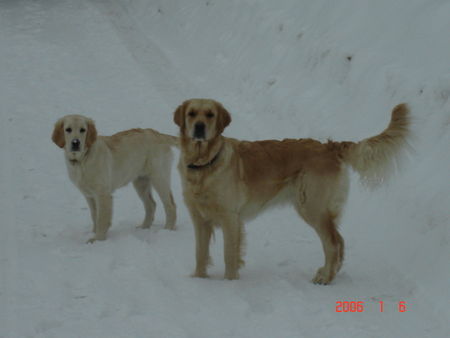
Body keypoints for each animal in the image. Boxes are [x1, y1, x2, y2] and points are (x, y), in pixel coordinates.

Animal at [173, 99, 412, 284]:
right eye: (191, 113)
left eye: (210, 115)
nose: (199, 127)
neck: (204, 164)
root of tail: (329, 146)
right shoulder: (199, 218)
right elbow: (200, 252)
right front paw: (199, 278)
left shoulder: (230, 218)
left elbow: (229, 255)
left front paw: (229, 283)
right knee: (340, 241)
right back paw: (331, 274)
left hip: (312, 207)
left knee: (333, 243)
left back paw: (324, 278)